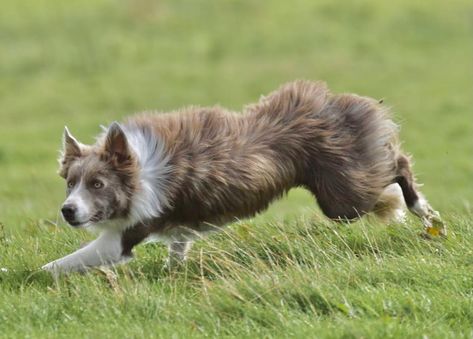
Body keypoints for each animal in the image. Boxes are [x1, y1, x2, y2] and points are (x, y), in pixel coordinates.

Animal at [42, 81, 444, 274]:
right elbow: (179, 244)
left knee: (399, 164)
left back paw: (423, 211)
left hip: (342, 199)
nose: (67, 210)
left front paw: (34, 276)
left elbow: (60, 265)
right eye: (70, 183)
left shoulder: (124, 235)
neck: (138, 172)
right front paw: (174, 271)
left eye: (97, 184)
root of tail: (336, 103)